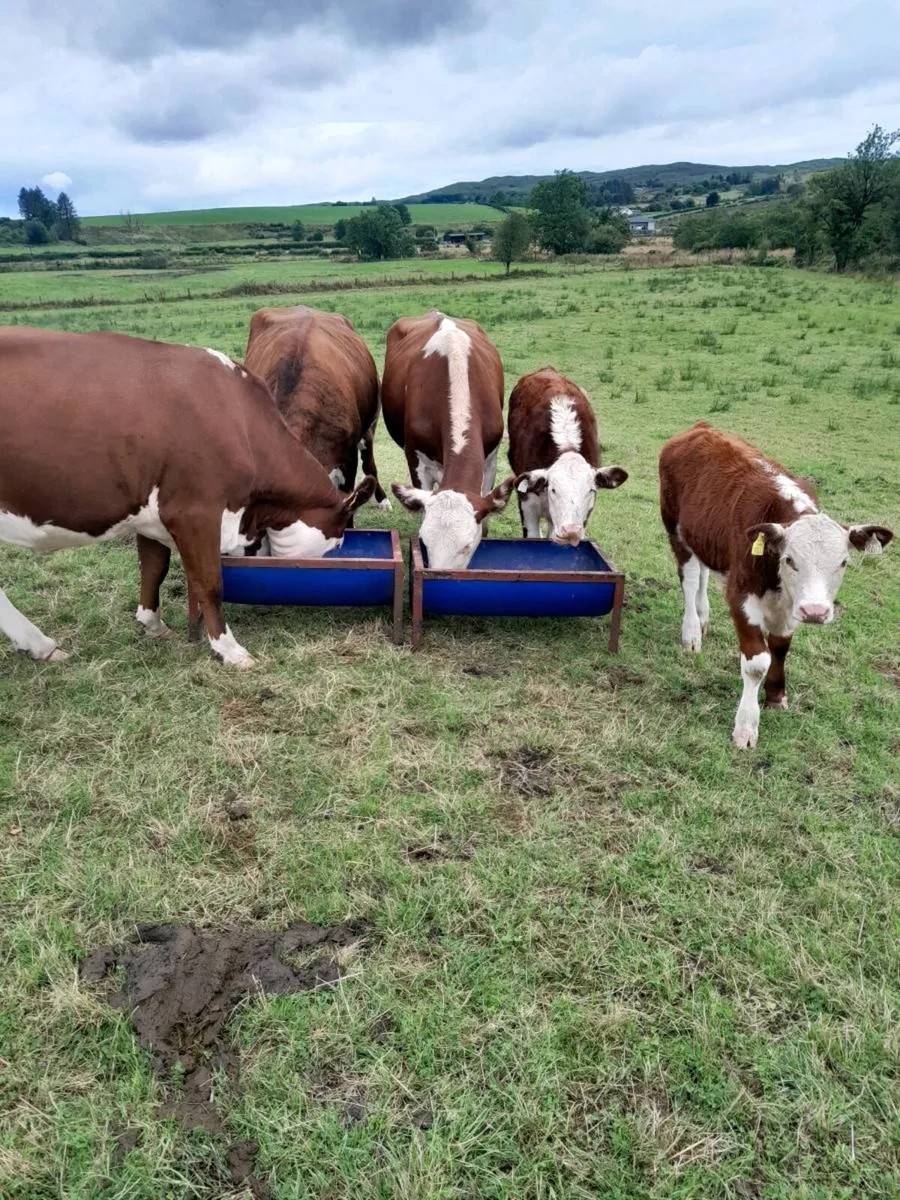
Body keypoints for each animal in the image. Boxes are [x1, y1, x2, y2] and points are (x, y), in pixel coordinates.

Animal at [0, 328, 375, 669]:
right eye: (337, 543)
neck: (239, 420)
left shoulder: (152, 511)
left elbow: (154, 567)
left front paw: (152, 624)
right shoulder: (195, 511)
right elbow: (210, 582)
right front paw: (229, 649)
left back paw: (40, 645)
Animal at [659, 422, 893, 748]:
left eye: (844, 562)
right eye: (790, 559)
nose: (815, 612)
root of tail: (700, 428)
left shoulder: (791, 605)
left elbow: (781, 649)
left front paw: (776, 696)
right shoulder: (741, 596)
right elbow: (757, 662)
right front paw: (746, 726)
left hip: (704, 535)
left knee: (703, 572)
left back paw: (703, 617)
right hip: (675, 528)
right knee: (690, 577)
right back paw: (692, 632)